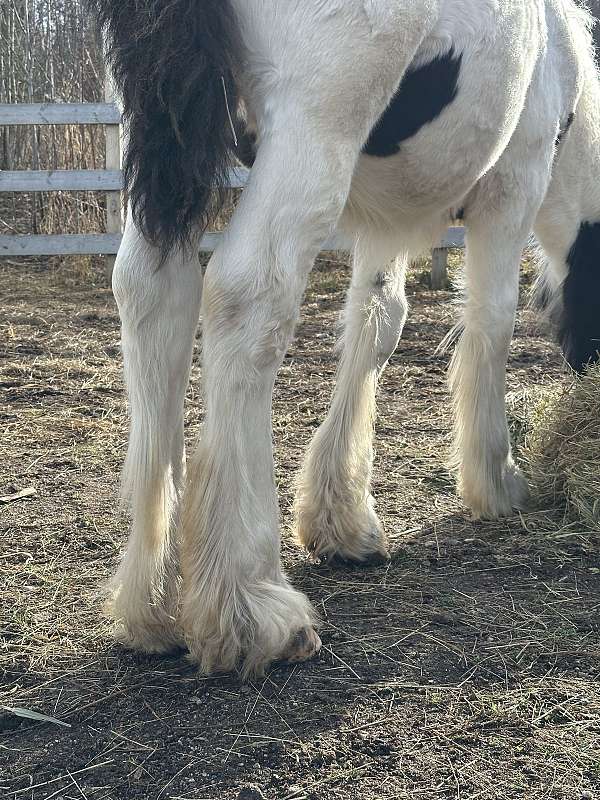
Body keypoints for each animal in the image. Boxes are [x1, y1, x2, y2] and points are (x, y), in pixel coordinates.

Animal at [89, 0, 600, 676]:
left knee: (152, 290)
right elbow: (493, 323)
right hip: (310, 131)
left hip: (160, 137)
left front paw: (341, 520)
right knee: (247, 295)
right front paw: (496, 479)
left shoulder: (387, 218)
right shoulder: (514, 185)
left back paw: (152, 605)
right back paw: (249, 606)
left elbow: (379, 321)